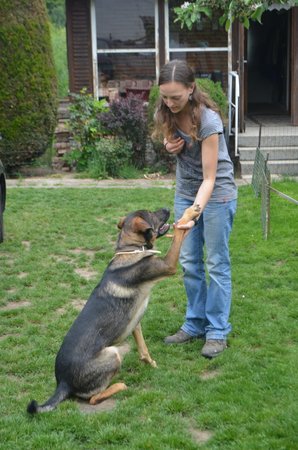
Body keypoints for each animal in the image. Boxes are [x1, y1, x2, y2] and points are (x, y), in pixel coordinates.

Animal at [26, 206, 198, 414]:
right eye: (151, 213)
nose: (166, 208)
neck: (131, 248)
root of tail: (63, 383)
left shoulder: (135, 322)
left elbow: (143, 349)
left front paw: (151, 364)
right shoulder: (168, 264)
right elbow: (180, 233)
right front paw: (191, 212)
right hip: (112, 354)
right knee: (93, 399)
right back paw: (119, 385)